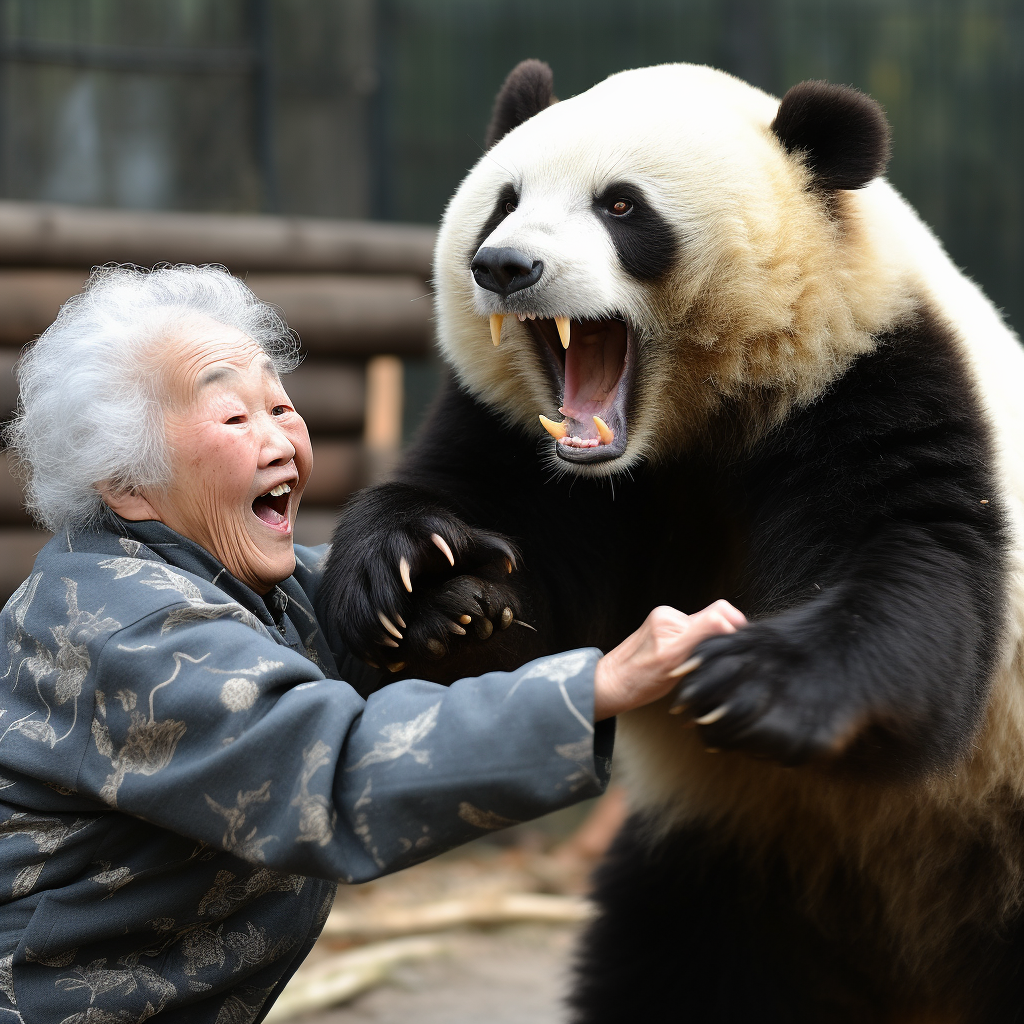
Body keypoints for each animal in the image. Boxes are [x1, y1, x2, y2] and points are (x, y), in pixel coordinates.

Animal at [317, 59, 1024, 1019]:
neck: (679, 430)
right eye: (505, 200)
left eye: (621, 206)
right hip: (730, 866)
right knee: (671, 967)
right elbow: (503, 610)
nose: (503, 265)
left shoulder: (875, 372)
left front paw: (758, 679)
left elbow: (914, 567)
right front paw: (434, 593)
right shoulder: (527, 449)